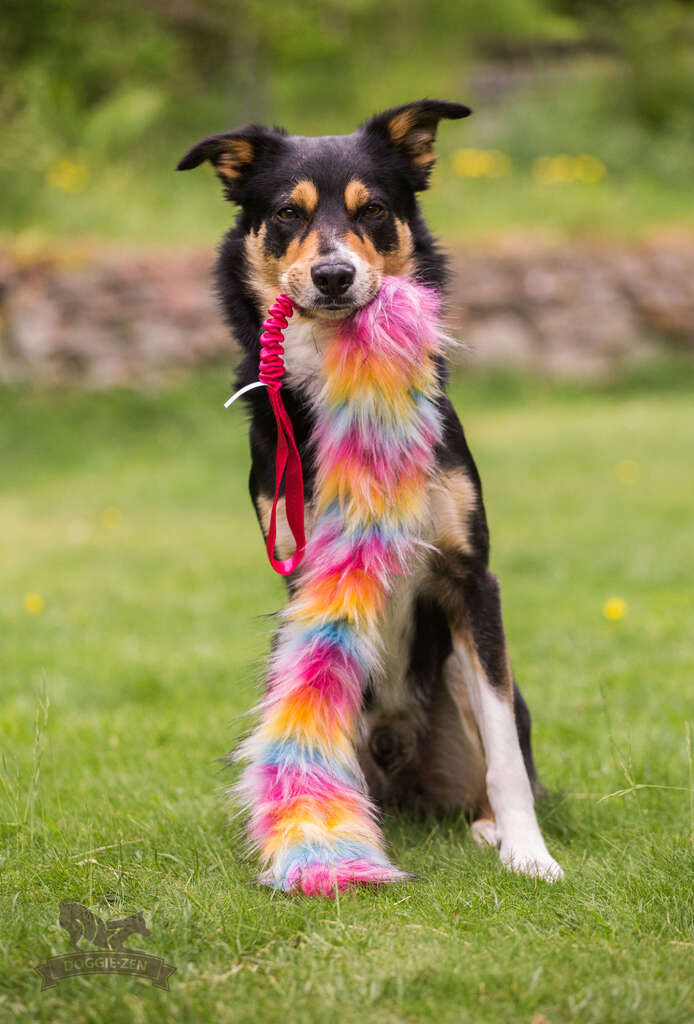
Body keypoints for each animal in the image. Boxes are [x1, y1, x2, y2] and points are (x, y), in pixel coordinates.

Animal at [178, 99, 565, 884]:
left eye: (375, 209)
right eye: (287, 214)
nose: (333, 275)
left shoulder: (471, 577)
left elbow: (506, 754)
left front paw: (529, 852)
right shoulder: (308, 577)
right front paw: (325, 839)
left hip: (459, 676)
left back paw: (487, 829)